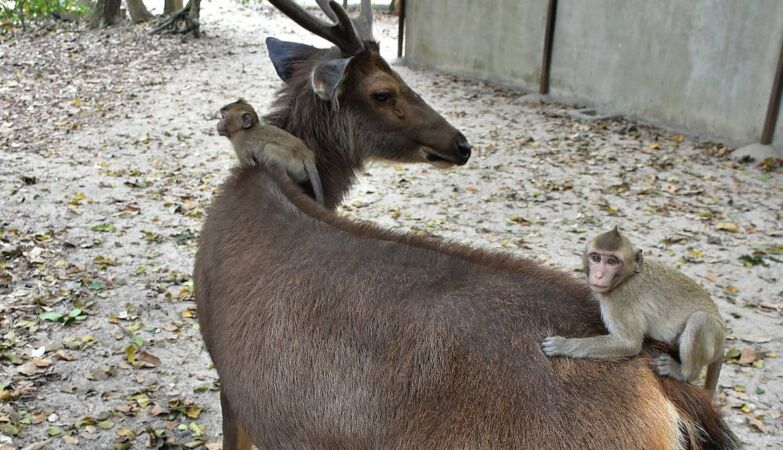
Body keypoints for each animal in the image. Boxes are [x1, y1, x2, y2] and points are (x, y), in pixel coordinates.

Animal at [544, 227, 724, 392]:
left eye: (612, 261)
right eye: (596, 258)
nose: (599, 275)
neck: (626, 278)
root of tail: (722, 343)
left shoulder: (619, 300)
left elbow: (629, 343)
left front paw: (564, 345)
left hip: (713, 337)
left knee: (700, 319)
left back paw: (683, 373)